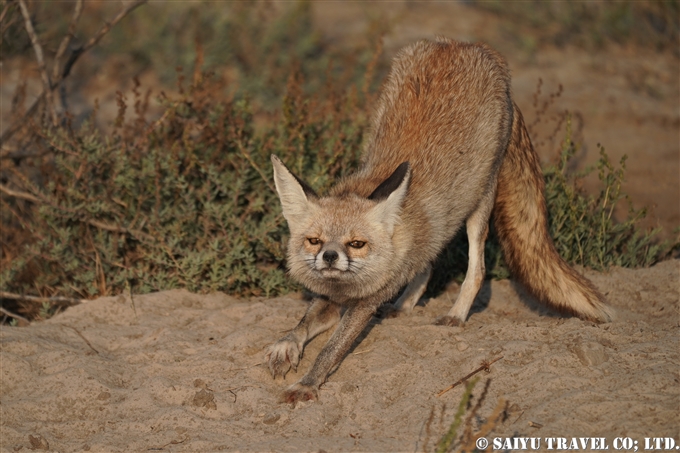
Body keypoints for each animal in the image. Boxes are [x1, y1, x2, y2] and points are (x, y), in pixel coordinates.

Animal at [262, 38, 612, 404]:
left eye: (356, 244)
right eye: (314, 241)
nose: (329, 257)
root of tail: (469, 46)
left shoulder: (365, 303)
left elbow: (330, 350)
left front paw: (307, 384)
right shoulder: (334, 299)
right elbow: (302, 324)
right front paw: (286, 346)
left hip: (479, 205)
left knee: (477, 268)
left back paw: (456, 314)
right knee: (428, 260)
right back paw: (406, 304)